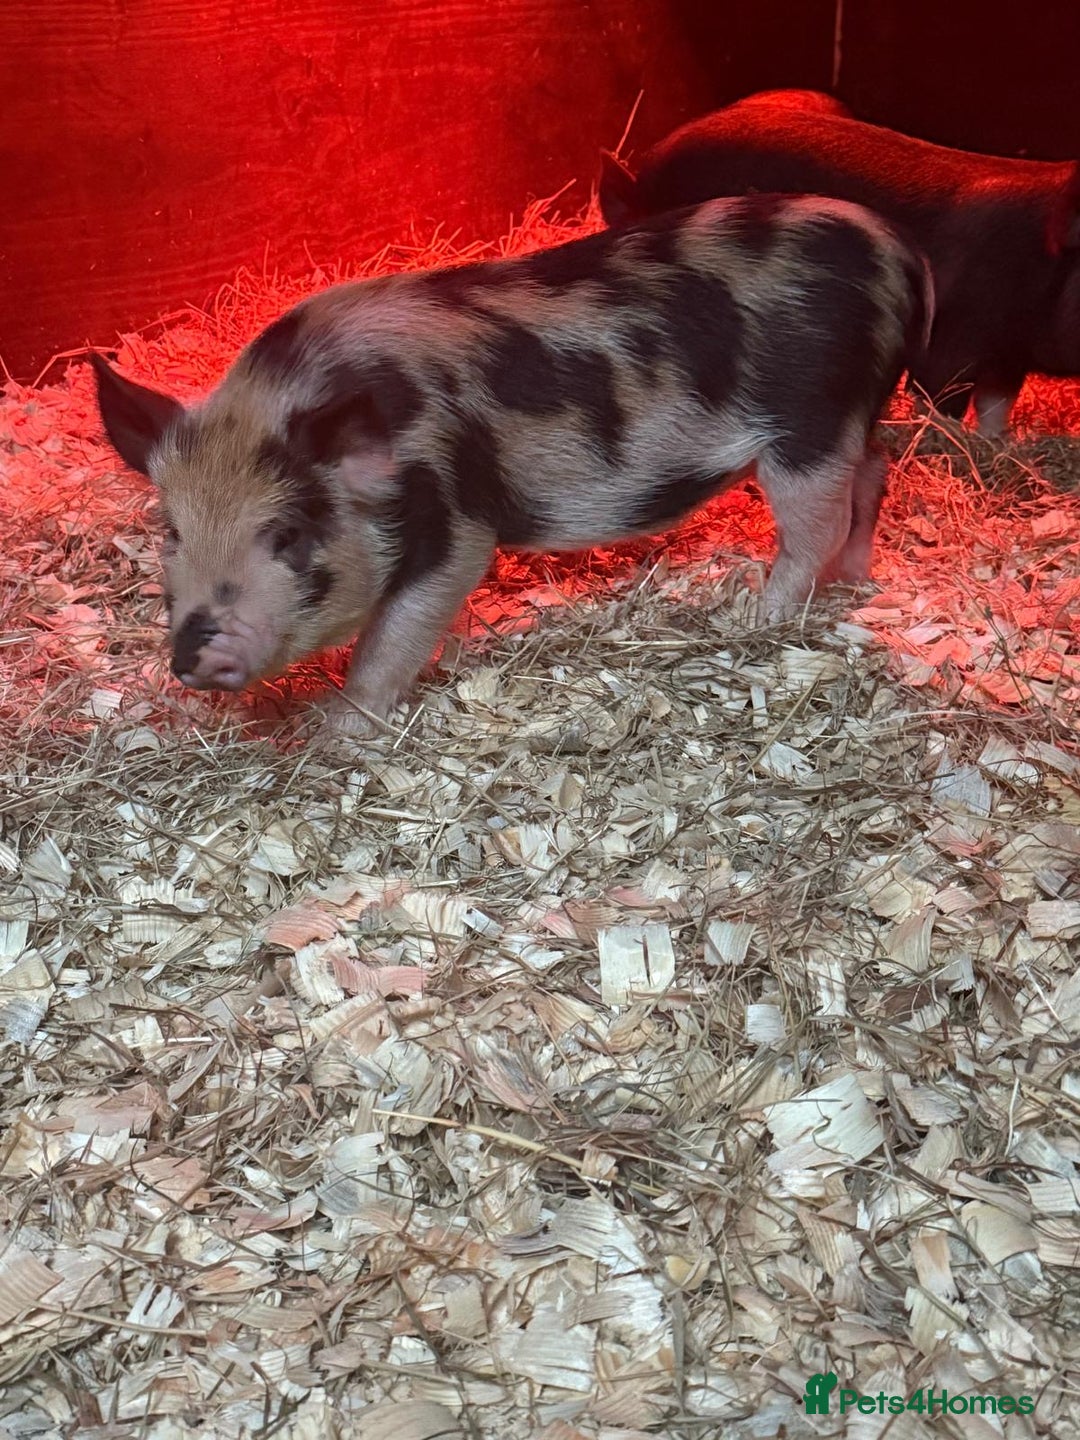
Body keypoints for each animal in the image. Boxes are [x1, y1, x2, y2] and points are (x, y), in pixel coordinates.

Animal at [91, 193, 931, 736]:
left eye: (290, 533)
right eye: (172, 532)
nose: (196, 649)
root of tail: (901, 255)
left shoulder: (457, 516)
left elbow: (399, 628)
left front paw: (333, 729)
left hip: (808, 423)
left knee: (815, 525)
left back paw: (758, 616)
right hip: (850, 418)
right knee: (873, 473)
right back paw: (857, 580)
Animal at [599, 90, 1080, 435]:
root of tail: (641, 189)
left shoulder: (1008, 358)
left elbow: (996, 410)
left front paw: (997, 446)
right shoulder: (953, 339)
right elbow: (938, 402)